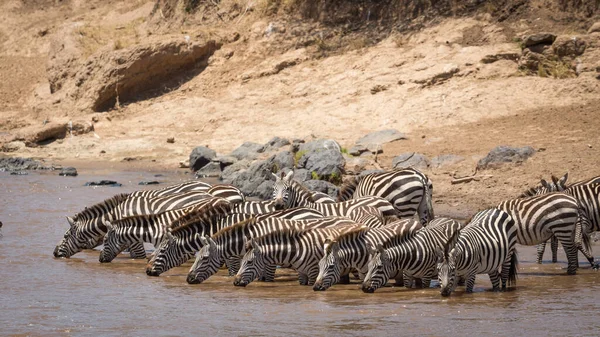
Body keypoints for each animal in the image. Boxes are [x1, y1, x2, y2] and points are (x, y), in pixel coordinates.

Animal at [53, 189, 213, 258]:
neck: (117, 214)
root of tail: (208, 193)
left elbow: (138, 255)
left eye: (66, 236)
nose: (54, 253)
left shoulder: (133, 237)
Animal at [188, 214, 356, 282]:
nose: (188, 279)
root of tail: (349, 219)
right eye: (195, 257)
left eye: (204, 258)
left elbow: (266, 279)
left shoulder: (269, 263)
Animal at [232, 223, 364, 286]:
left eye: (249, 262)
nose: (235, 282)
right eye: (242, 261)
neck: (297, 249)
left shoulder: (314, 272)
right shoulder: (302, 272)